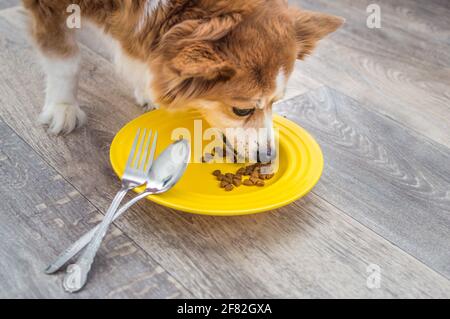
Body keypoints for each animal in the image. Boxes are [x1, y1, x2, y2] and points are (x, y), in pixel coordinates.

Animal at [22, 0, 342, 160]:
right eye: (242, 110)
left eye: (277, 102)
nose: (269, 156)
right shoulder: (50, 6)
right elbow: (66, 60)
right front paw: (63, 107)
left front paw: (147, 89)